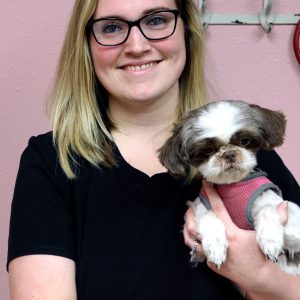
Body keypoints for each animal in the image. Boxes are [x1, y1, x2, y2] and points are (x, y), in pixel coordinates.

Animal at [158, 100, 300, 274]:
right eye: (208, 150)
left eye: (245, 141)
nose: (229, 154)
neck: (232, 185)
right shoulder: (200, 206)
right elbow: (209, 216)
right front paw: (215, 246)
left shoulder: (286, 216)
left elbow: (268, 209)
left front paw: (270, 240)